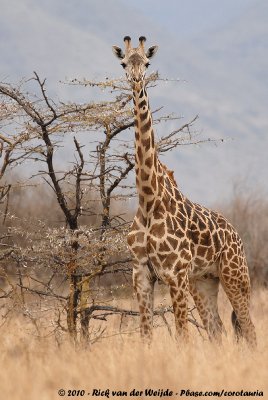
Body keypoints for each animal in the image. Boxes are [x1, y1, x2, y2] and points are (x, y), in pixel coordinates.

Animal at [112, 35, 256, 346]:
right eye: (124, 63)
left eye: (147, 62)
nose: (136, 80)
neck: (148, 199)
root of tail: (236, 234)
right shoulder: (141, 274)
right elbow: (146, 336)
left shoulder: (174, 273)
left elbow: (182, 337)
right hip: (203, 280)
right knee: (217, 330)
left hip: (235, 276)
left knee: (249, 330)